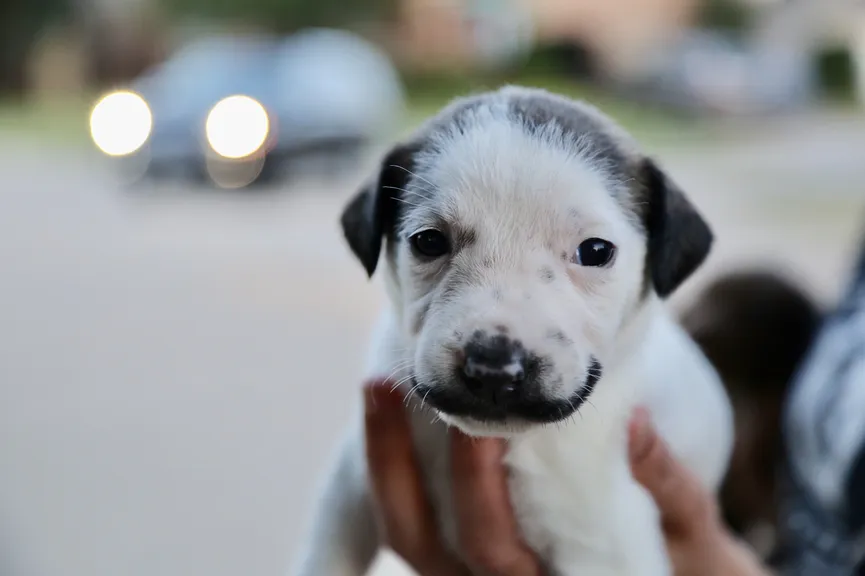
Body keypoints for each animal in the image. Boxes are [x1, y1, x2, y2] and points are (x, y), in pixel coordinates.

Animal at [294, 86, 732, 576]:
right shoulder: (350, 483)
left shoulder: (602, 546)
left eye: (595, 251)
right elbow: (325, 557)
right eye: (428, 241)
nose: (492, 369)